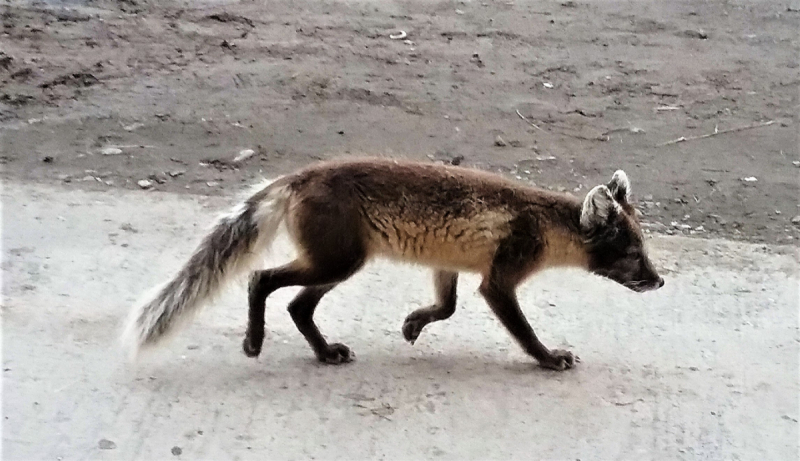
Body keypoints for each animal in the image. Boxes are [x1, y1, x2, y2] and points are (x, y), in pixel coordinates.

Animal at [123, 157, 664, 370]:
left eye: (646, 250)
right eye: (633, 254)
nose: (659, 281)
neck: (544, 222)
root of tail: (298, 177)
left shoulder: (450, 265)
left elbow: (446, 307)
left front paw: (412, 325)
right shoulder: (498, 280)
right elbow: (523, 331)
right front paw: (549, 358)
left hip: (336, 264)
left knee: (297, 306)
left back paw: (325, 353)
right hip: (337, 263)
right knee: (262, 279)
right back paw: (254, 342)